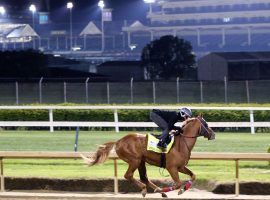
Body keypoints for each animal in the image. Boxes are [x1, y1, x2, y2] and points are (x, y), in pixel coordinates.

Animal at [80, 116, 215, 198]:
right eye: (206, 124)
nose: (213, 134)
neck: (181, 144)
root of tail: (118, 141)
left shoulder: (181, 166)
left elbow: (193, 175)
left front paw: (182, 189)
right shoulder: (171, 167)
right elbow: (177, 183)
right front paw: (171, 190)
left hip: (141, 161)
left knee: (144, 177)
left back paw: (157, 190)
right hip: (134, 160)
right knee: (128, 175)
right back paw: (146, 190)